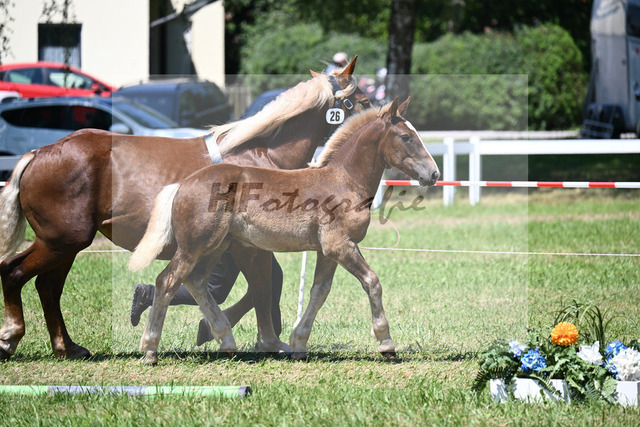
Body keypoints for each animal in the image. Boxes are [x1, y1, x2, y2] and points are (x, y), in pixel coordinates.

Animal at [0, 57, 372, 360]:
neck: (261, 156)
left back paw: (67, 346)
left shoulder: (243, 247)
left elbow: (262, 286)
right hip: (62, 241)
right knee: (15, 272)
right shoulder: (249, 248)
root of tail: (40, 152)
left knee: (47, 287)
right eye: (365, 101)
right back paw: (11, 336)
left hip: (65, 245)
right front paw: (265, 339)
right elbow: (262, 286)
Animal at [128, 98, 440, 364]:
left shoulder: (329, 251)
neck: (344, 181)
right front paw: (386, 343)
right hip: (195, 246)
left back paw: (225, 340)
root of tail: (182, 184)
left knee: (195, 282)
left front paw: (299, 344)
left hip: (217, 246)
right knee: (167, 281)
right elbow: (372, 282)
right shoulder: (340, 245)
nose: (434, 174)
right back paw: (150, 349)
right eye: (406, 137)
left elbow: (319, 292)